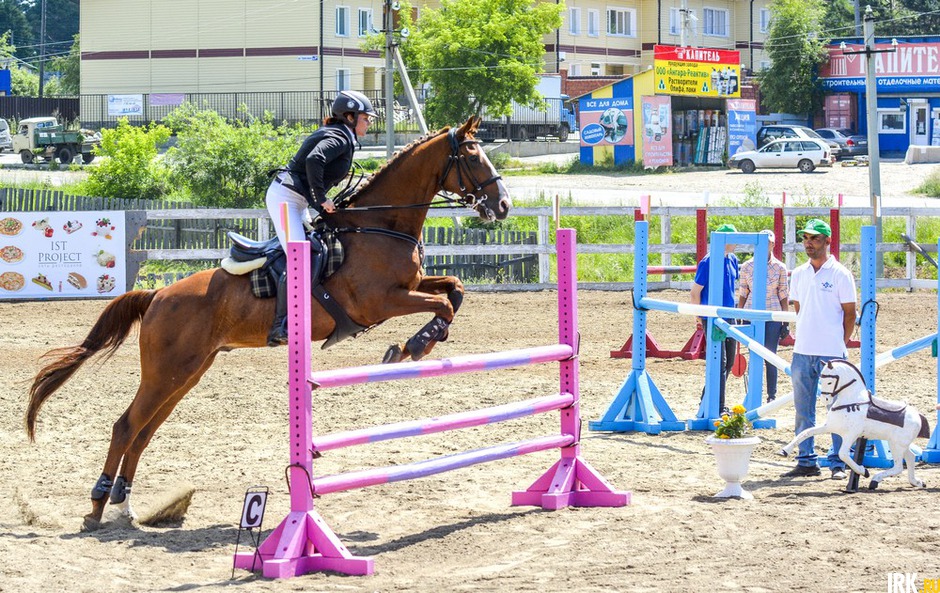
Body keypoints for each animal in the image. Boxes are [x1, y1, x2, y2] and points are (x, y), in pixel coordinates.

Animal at [27, 115, 516, 528]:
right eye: (473, 156)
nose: (504, 206)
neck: (378, 225)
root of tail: (157, 295)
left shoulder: (411, 287)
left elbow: (455, 289)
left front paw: (419, 343)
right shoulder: (382, 301)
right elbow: (444, 306)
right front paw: (411, 347)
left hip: (187, 371)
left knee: (144, 431)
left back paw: (124, 507)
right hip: (168, 371)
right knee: (127, 427)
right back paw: (97, 507)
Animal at [780, 358, 932, 488]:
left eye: (829, 382)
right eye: (821, 378)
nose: (825, 399)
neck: (851, 402)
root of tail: (918, 416)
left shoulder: (851, 435)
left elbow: (842, 454)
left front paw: (863, 471)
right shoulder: (830, 427)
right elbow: (805, 433)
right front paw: (785, 451)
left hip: (896, 445)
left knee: (898, 467)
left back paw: (875, 480)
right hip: (899, 444)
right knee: (911, 458)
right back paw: (916, 482)